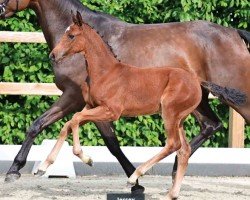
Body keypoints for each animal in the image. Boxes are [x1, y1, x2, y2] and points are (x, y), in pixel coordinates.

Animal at [0, 0, 250, 187]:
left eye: (71, 36)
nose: (0, 9)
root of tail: (235, 33)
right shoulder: (83, 102)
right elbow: (38, 125)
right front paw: (14, 170)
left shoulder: (75, 97)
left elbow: (110, 142)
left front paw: (135, 179)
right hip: (197, 100)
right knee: (210, 125)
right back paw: (175, 169)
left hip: (235, 95)